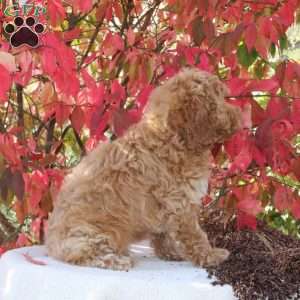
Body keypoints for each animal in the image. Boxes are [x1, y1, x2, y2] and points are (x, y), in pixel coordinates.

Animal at [45, 69, 241, 270]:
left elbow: (163, 234)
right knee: (82, 255)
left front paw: (171, 253)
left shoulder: (167, 206)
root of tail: (51, 244)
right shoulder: (179, 203)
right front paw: (211, 255)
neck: (170, 137)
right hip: (87, 234)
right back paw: (118, 260)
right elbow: (195, 235)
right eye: (221, 99)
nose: (239, 115)